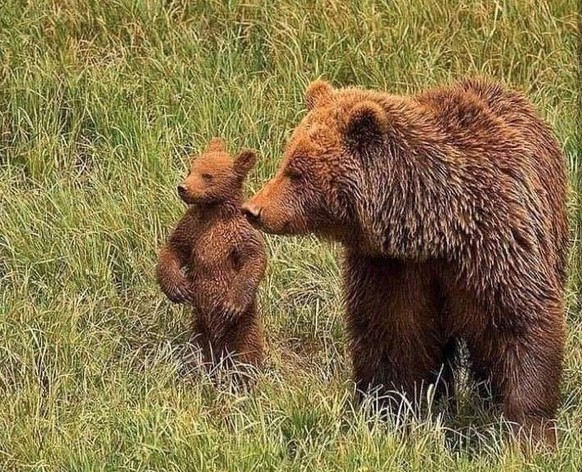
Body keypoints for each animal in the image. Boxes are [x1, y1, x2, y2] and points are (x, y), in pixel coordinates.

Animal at [242, 78, 572, 446]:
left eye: (296, 171)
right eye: (287, 159)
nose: (253, 209)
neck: (435, 228)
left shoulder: (495, 243)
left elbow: (522, 322)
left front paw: (528, 431)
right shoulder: (391, 268)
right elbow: (394, 336)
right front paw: (391, 414)